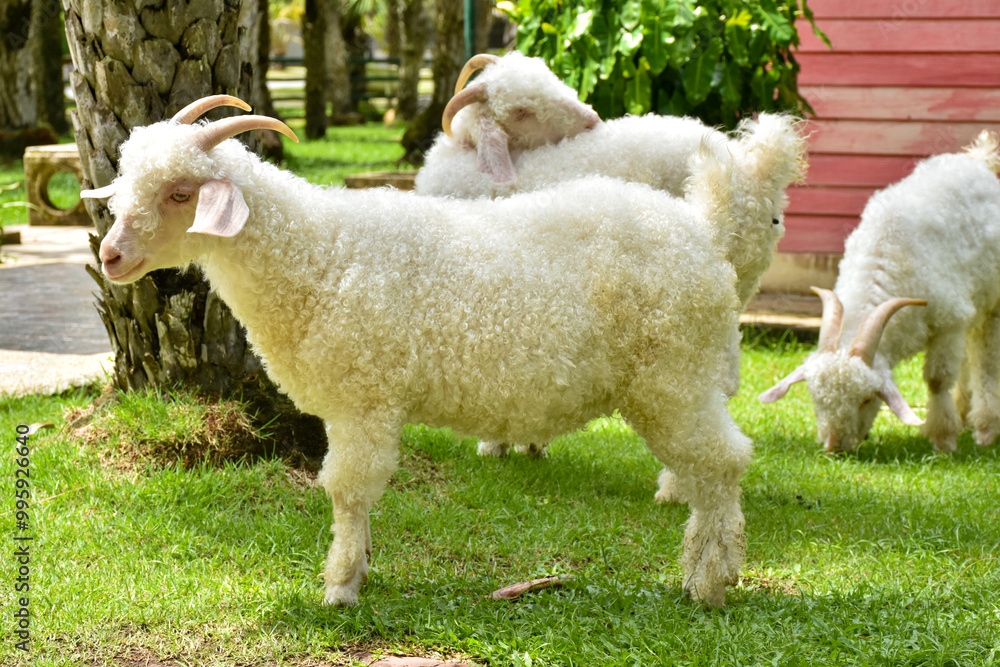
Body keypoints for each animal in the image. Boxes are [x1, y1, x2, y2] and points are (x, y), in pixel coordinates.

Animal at [83, 95, 754, 608]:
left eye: (180, 193)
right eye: (128, 185)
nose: (111, 256)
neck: (318, 254)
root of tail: (702, 234)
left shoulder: (366, 402)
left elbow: (347, 490)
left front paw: (340, 587)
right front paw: (358, 566)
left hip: (673, 378)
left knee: (722, 464)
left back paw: (710, 583)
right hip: (682, 381)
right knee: (712, 468)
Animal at [759, 131, 1000, 453]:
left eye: (867, 398)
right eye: (816, 399)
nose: (834, 447)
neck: (889, 253)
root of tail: (979, 160)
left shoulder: (949, 321)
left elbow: (938, 380)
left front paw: (943, 439)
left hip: (991, 303)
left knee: (985, 357)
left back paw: (985, 428)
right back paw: (964, 413)